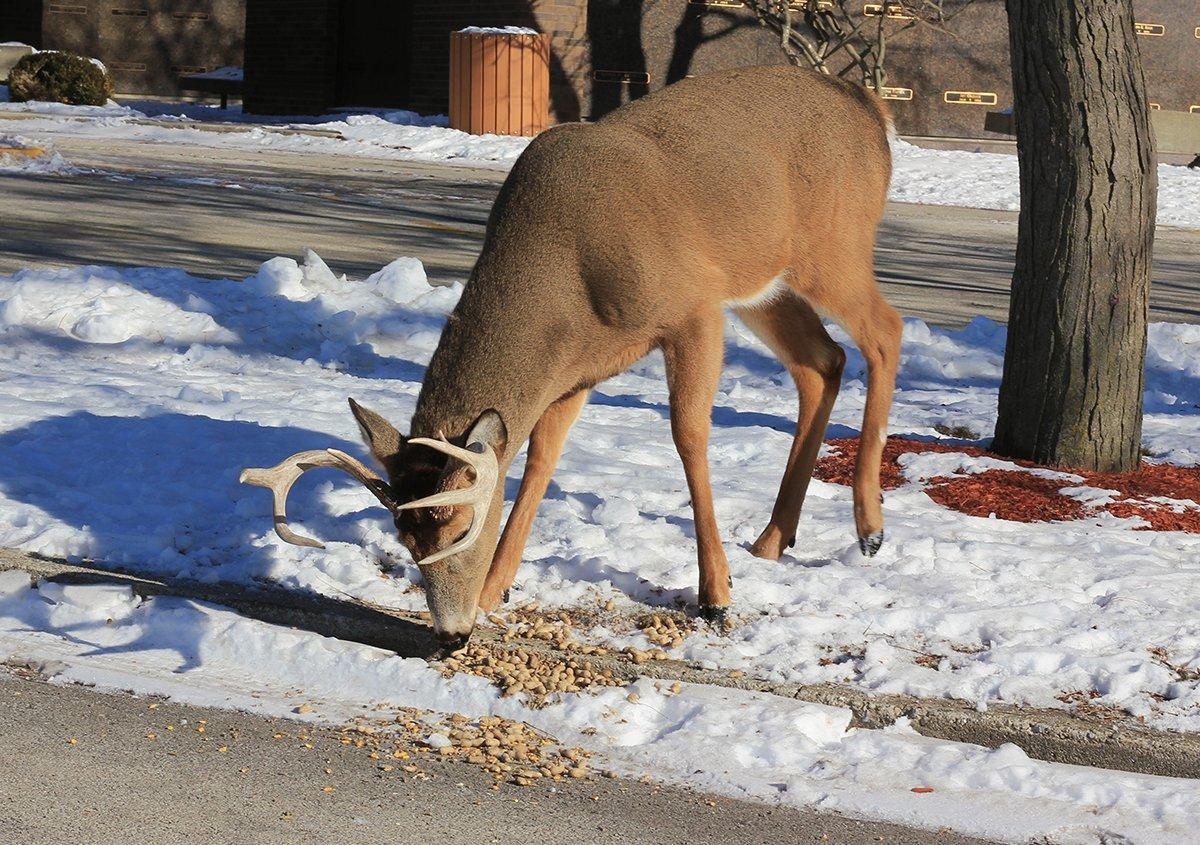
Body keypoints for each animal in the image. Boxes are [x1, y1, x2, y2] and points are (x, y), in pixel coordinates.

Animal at [241, 64, 902, 648]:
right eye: (403, 536)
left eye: (459, 525)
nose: (450, 635)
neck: (568, 269)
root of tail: (872, 109)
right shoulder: (576, 367)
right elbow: (540, 459)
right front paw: (496, 590)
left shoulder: (693, 310)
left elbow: (688, 435)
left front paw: (716, 596)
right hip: (767, 285)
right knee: (822, 362)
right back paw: (773, 538)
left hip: (832, 247)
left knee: (884, 333)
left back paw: (869, 527)